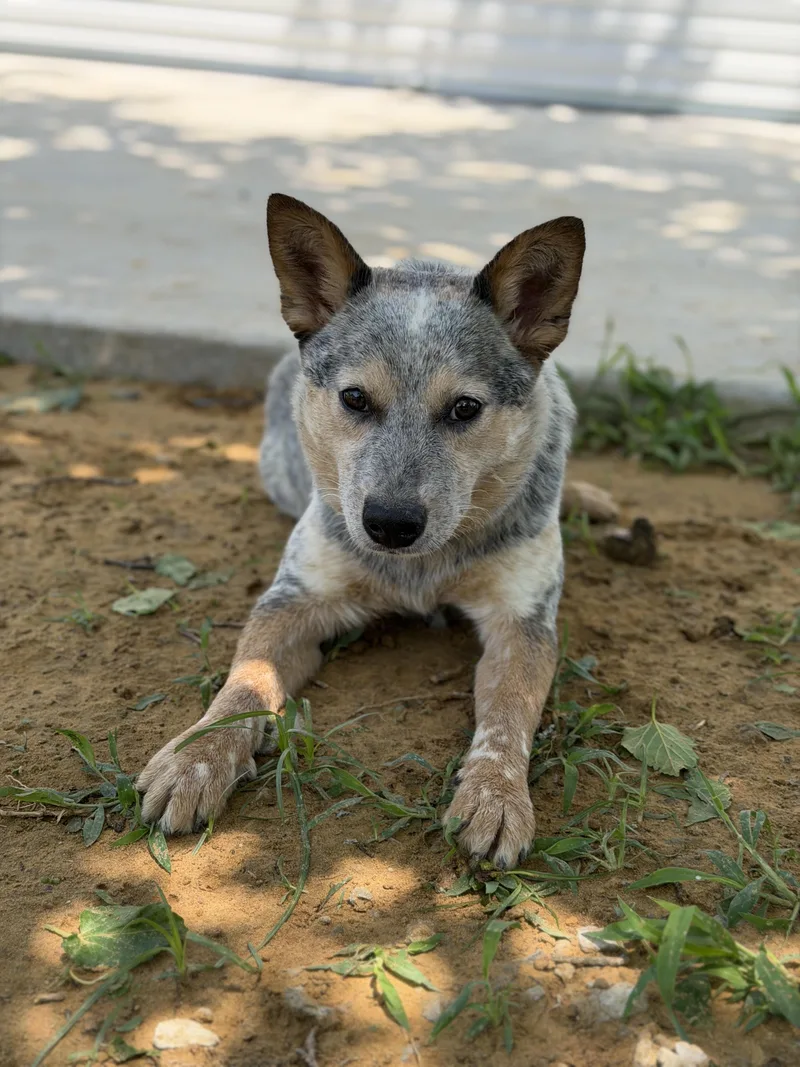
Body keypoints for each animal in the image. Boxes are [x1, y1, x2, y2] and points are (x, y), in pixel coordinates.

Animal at [138, 194, 616, 868]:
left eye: (465, 408)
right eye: (356, 398)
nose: (390, 523)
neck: (423, 567)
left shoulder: (523, 623)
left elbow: (506, 718)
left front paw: (496, 796)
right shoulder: (294, 599)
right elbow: (246, 684)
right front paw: (196, 759)